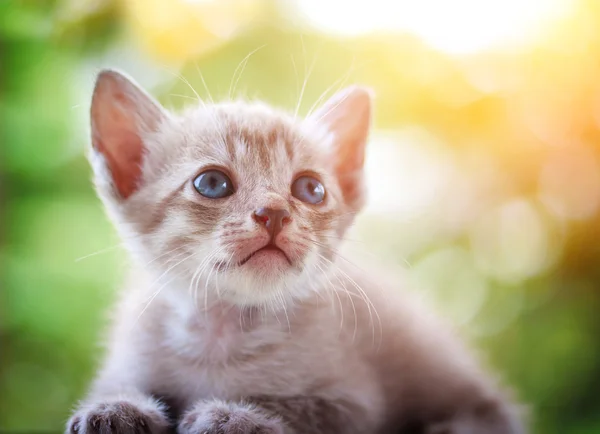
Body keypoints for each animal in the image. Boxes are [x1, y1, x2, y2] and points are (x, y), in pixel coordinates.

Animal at [67, 69, 524, 432]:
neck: (221, 334)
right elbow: (119, 389)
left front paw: (232, 416)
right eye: (211, 183)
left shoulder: (355, 401)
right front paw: (115, 409)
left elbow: (301, 409)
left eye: (310, 189)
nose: (274, 213)